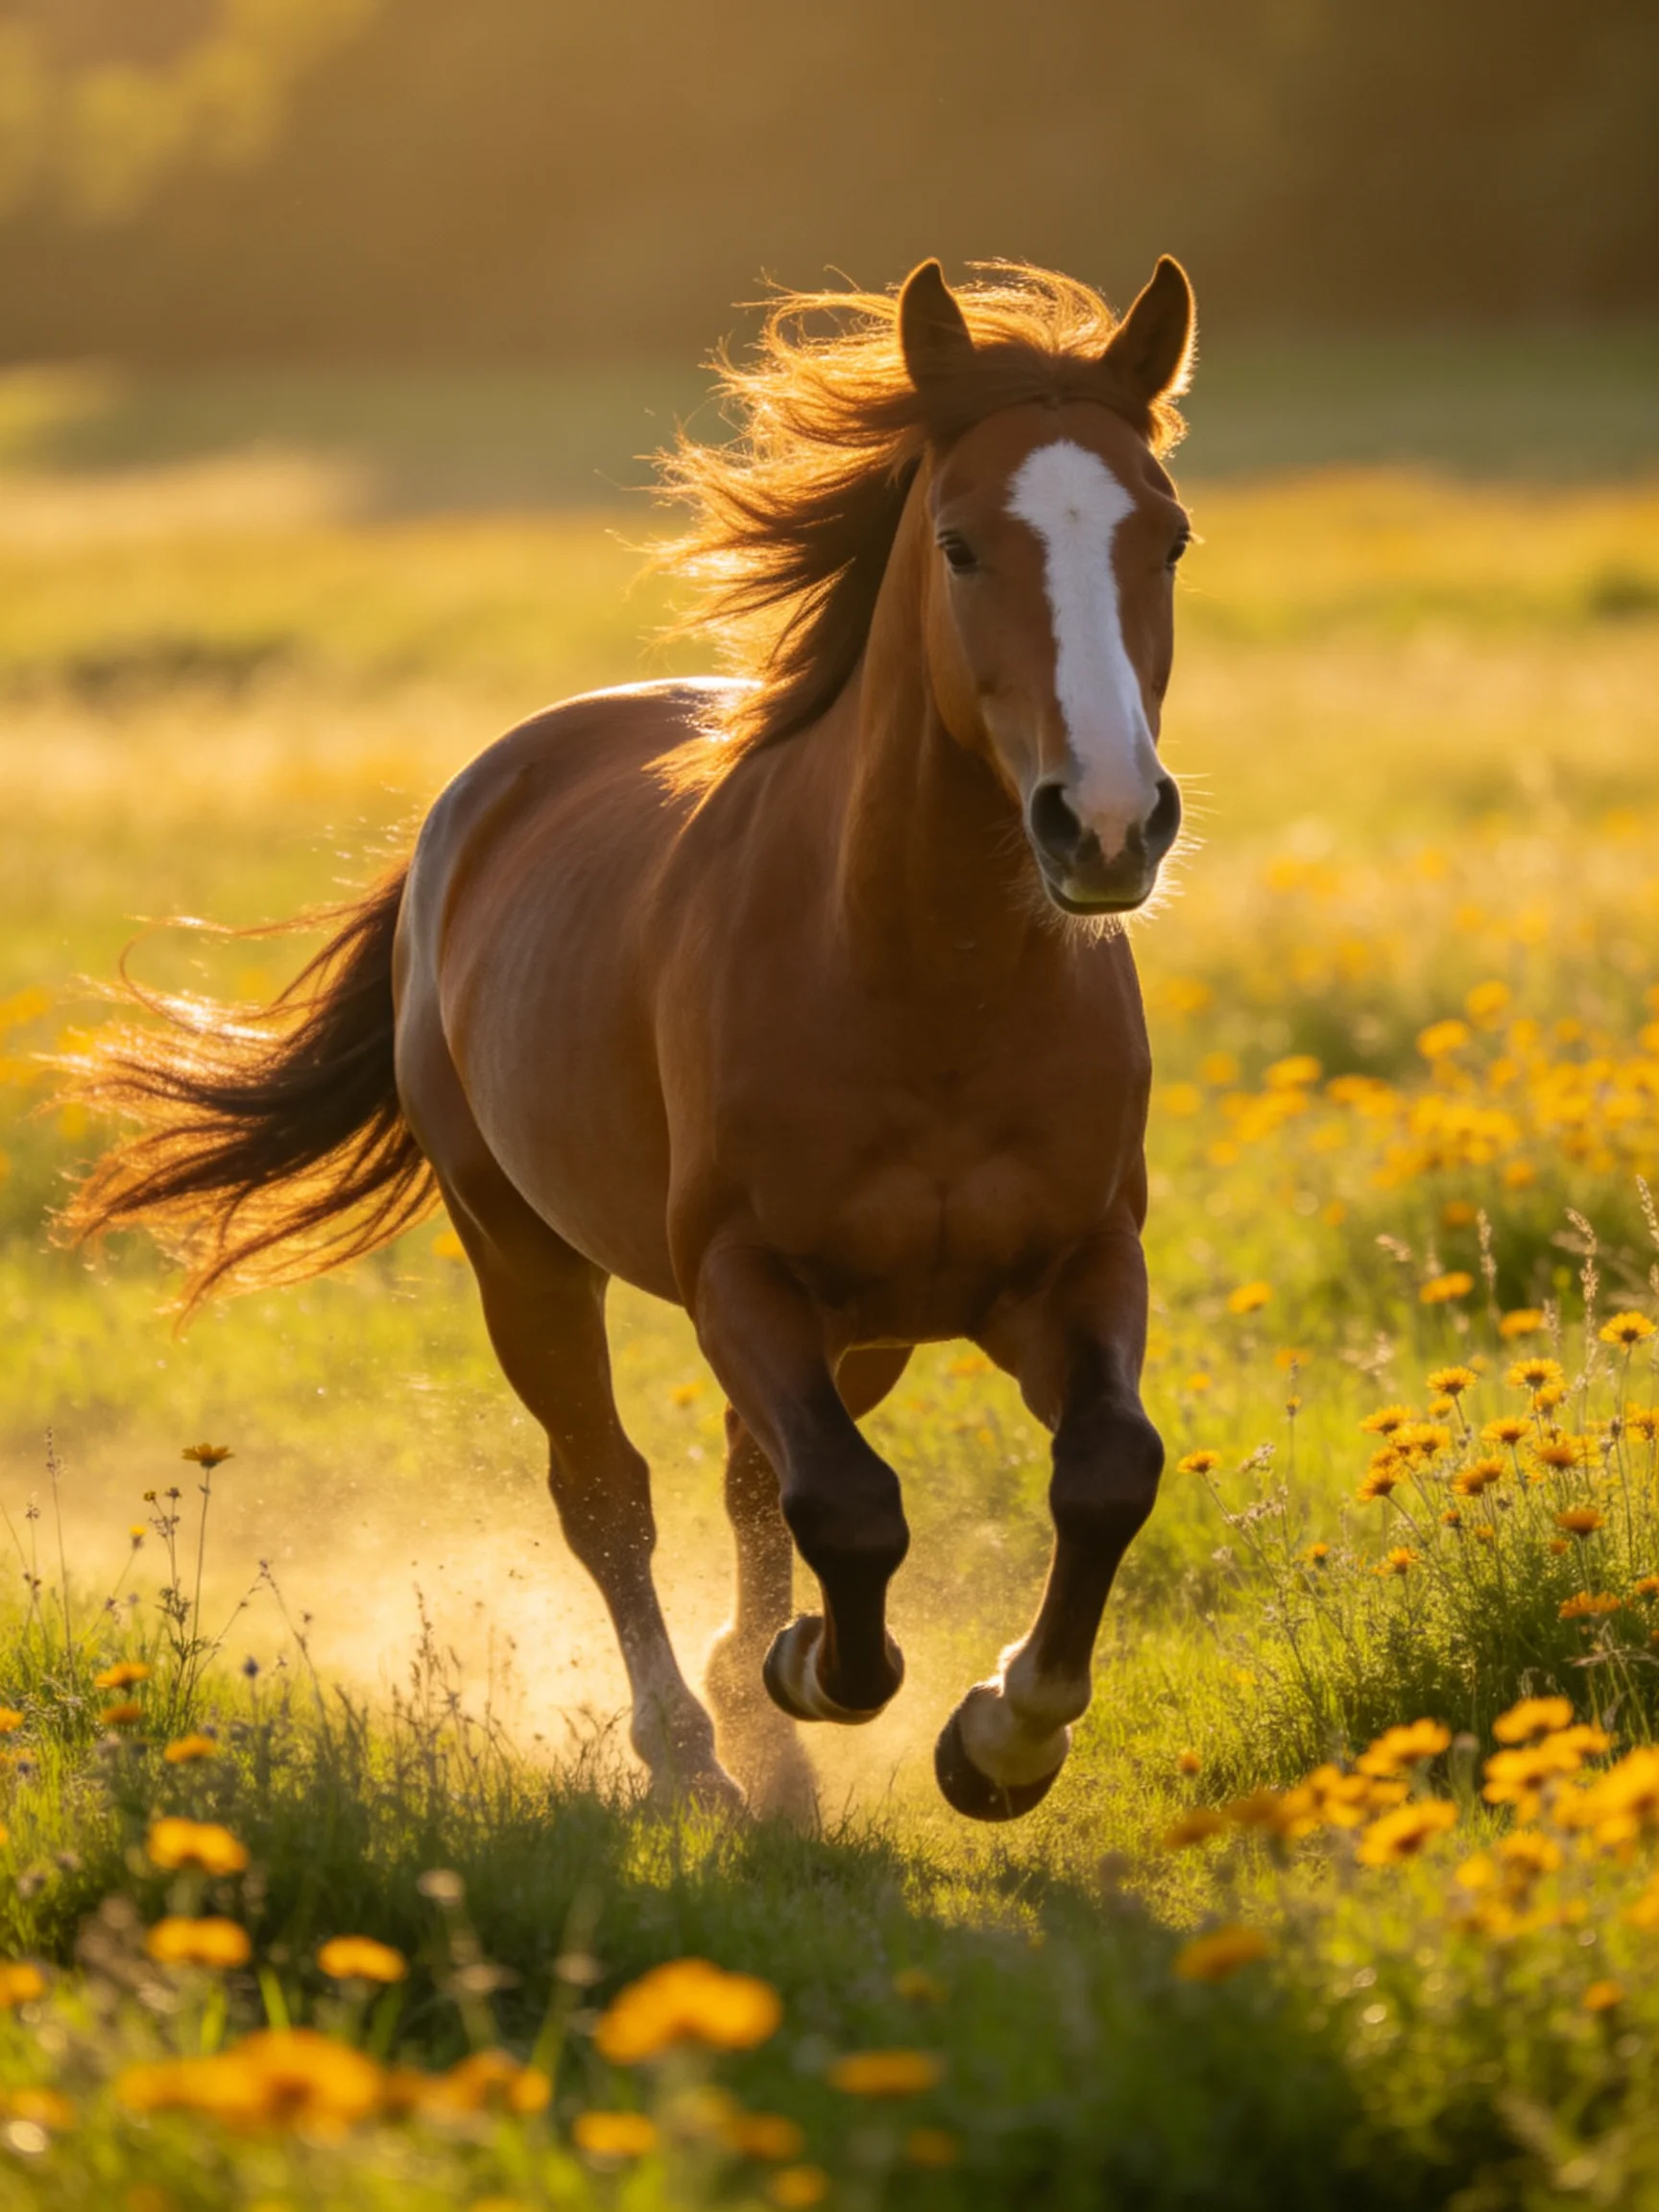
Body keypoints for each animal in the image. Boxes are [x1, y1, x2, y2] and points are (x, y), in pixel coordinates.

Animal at [65, 254, 1198, 1822]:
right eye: (963, 546)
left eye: (1170, 538)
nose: (1105, 824)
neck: (931, 983)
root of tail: (476, 798)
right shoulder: (742, 1277)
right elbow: (847, 1507)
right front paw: (814, 1675)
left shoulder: (1071, 1263)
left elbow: (1104, 1472)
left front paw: (999, 1739)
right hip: (523, 1254)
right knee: (610, 1494)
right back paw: (692, 1754)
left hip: (869, 1322)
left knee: (740, 1478)